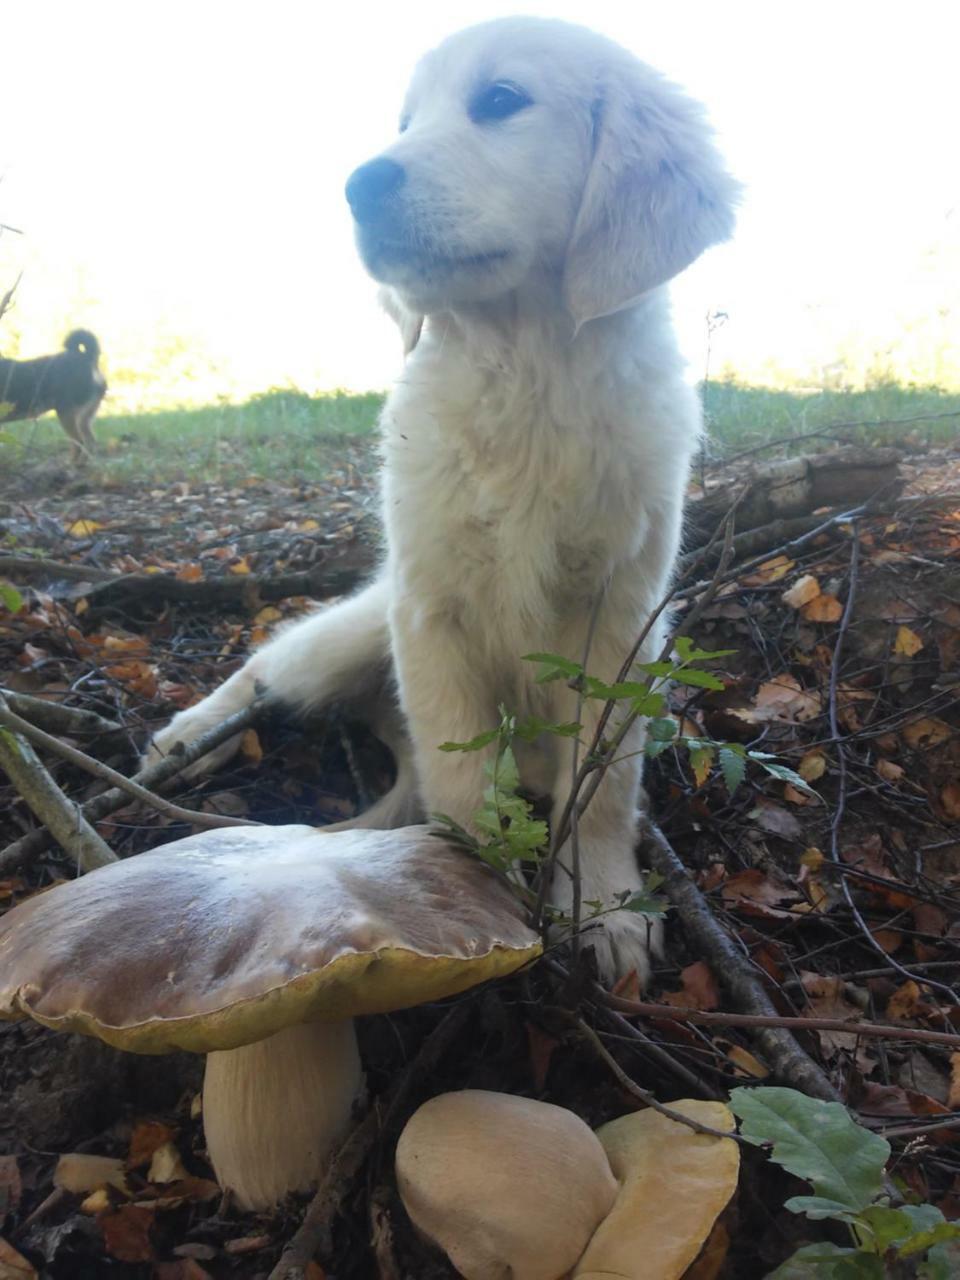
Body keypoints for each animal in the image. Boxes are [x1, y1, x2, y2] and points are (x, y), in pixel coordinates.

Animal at [0, 332, 106, 463]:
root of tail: (86, 358)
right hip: (84, 418)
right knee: (89, 442)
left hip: (67, 414)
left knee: (79, 442)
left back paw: (72, 464)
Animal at [150, 17, 742, 977]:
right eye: (403, 121)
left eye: (501, 99)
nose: (358, 185)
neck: (525, 371)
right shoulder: (431, 609)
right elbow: (461, 779)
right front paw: (466, 904)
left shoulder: (620, 619)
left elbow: (605, 784)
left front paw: (606, 907)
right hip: (353, 632)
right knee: (265, 666)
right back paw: (188, 736)